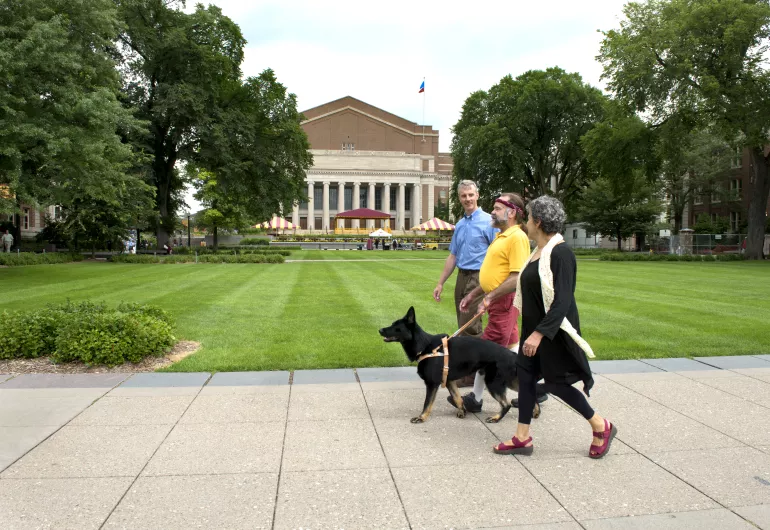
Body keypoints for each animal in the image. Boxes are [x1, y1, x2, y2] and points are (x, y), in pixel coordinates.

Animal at [380, 306, 540, 420]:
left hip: (493, 383)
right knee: (530, 395)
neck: (425, 346)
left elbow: (427, 403)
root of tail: (512, 355)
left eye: (396, 327)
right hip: (508, 381)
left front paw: (422, 417)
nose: (380, 329)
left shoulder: (432, 384)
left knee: (506, 404)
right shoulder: (449, 381)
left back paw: (496, 418)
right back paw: (535, 412)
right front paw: (462, 411)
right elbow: (457, 398)